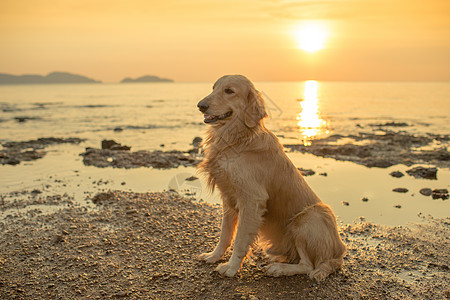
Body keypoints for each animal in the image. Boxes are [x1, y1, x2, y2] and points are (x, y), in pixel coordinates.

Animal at [195, 75, 346, 282]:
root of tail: (338, 253)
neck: (238, 138)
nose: (200, 105)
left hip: (308, 218)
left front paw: (232, 268)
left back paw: (279, 269)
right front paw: (214, 256)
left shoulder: (252, 200)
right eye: (213, 88)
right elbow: (225, 234)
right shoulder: (228, 198)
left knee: (308, 266)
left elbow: (240, 240)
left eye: (229, 91)